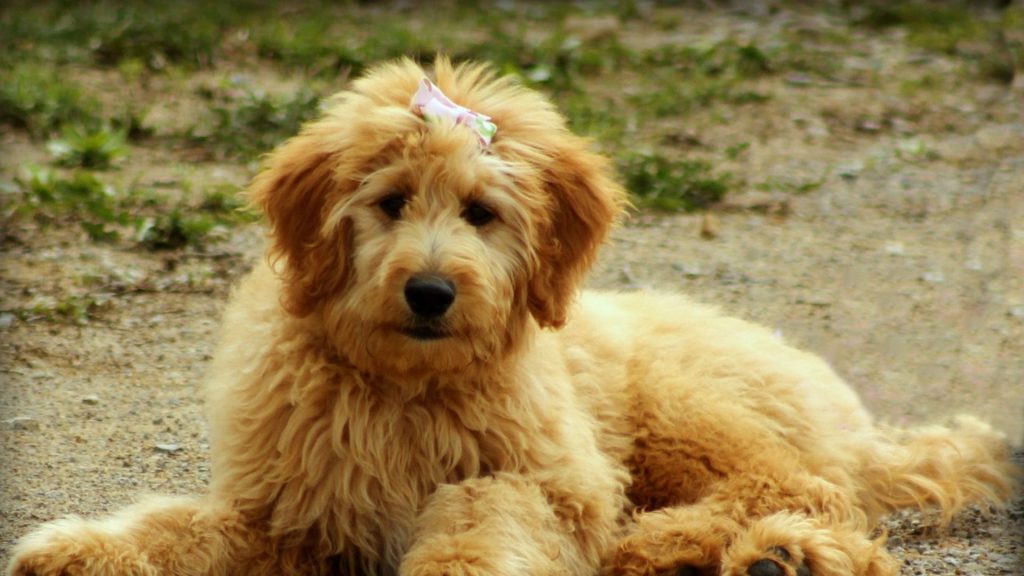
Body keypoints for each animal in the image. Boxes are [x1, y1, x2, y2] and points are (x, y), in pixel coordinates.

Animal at [9, 57, 1015, 573]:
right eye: (390, 203)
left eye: (482, 213)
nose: (429, 291)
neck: (406, 392)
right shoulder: (292, 513)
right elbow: (182, 527)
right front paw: (82, 548)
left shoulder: (549, 478)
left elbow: (481, 509)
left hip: (687, 409)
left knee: (805, 492)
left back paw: (727, 548)